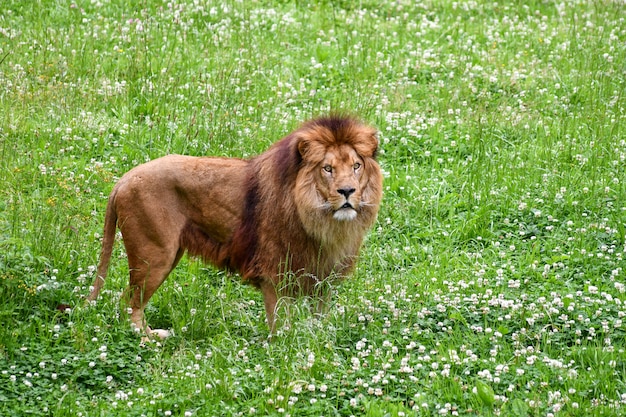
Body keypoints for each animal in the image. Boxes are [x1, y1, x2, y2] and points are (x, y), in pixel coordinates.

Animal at [86, 115, 382, 336]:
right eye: (327, 169)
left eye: (356, 166)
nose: (347, 191)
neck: (320, 220)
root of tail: (123, 180)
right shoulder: (274, 273)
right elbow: (280, 324)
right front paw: (284, 351)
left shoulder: (322, 276)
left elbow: (318, 320)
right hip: (154, 256)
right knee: (130, 304)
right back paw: (147, 341)